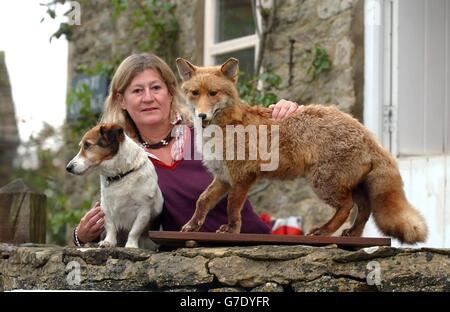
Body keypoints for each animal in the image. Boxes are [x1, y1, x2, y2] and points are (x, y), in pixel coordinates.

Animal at [174, 58, 428, 244]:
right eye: (195, 93)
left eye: (213, 93)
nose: (201, 116)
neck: (227, 125)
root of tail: (366, 131)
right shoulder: (223, 177)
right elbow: (202, 201)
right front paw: (193, 225)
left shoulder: (242, 176)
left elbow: (232, 208)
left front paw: (231, 230)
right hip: (350, 184)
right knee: (364, 209)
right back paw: (353, 234)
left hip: (324, 182)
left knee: (347, 207)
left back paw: (324, 231)